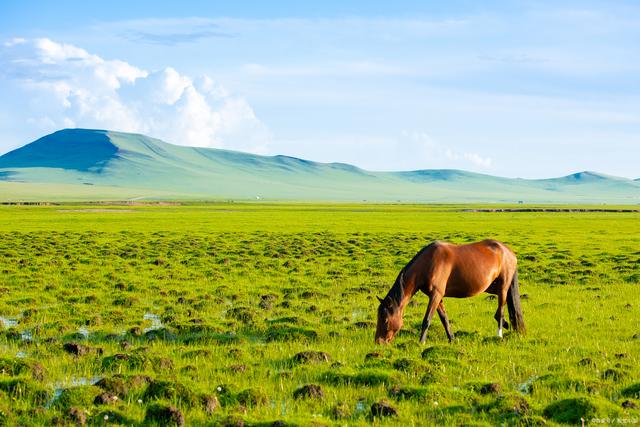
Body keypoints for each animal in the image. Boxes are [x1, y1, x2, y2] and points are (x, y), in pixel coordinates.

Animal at [376, 241, 524, 344]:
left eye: (385, 319)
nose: (378, 341)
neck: (428, 262)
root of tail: (509, 252)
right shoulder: (438, 297)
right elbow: (444, 319)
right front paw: (452, 339)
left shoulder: (435, 295)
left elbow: (427, 319)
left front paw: (421, 342)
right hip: (492, 286)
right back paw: (508, 324)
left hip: (503, 287)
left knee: (501, 310)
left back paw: (499, 334)